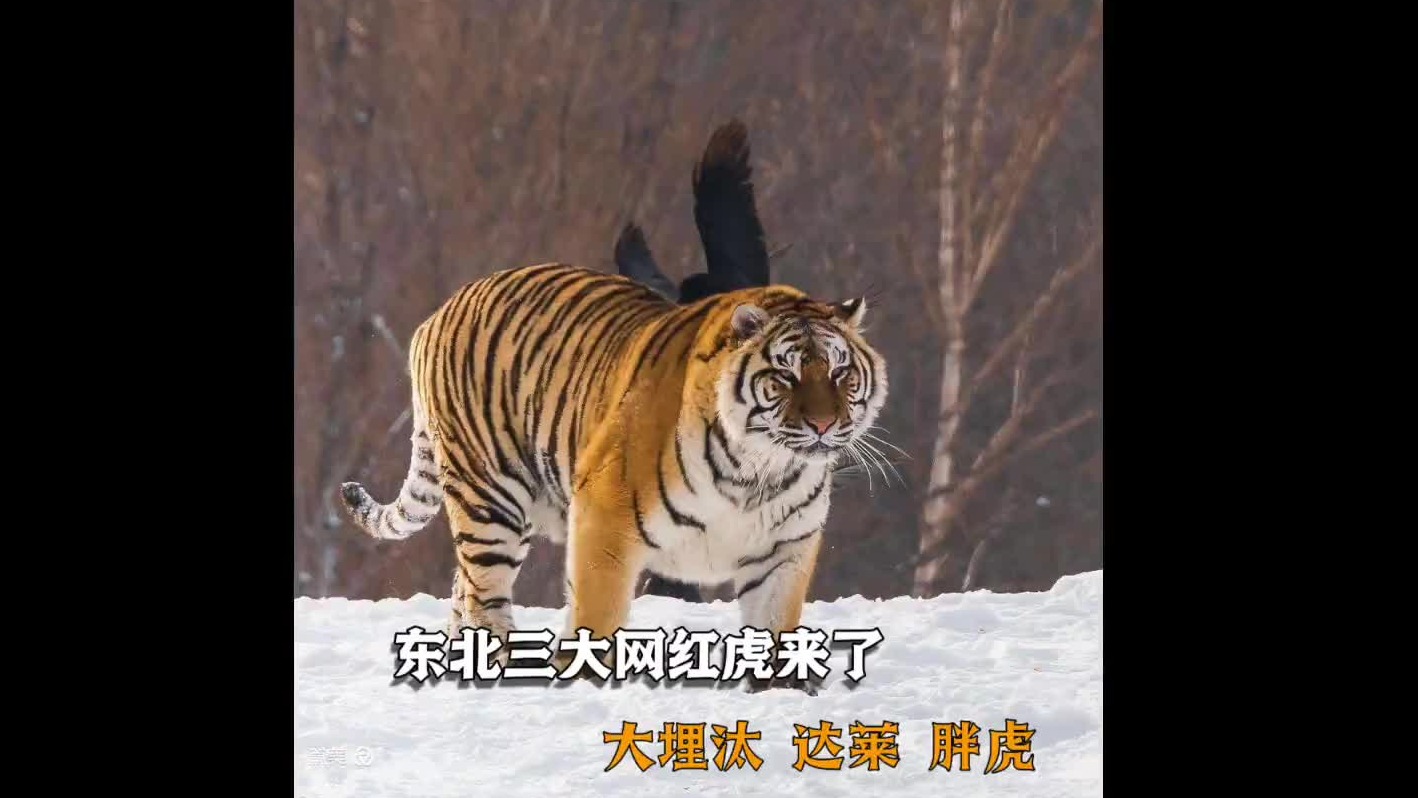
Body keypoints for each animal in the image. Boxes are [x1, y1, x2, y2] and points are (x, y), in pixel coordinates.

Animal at [340, 123, 889, 694]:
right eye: (785, 376)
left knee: (462, 587)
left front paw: (782, 691)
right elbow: (596, 616)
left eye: (841, 373)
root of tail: (440, 311)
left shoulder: (785, 548)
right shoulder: (605, 520)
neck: (759, 472)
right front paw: (584, 680)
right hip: (490, 500)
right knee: (485, 596)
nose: (824, 424)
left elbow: (777, 626)